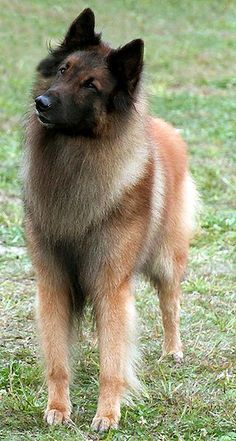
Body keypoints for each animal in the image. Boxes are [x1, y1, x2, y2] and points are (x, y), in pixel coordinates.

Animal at [23, 6, 198, 432]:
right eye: (63, 69)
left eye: (91, 86)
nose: (42, 102)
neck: (75, 159)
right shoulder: (54, 280)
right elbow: (58, 355)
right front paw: (58, 408)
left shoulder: (110, 284)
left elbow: (113, 360)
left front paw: (107, 414)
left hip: (166, 260)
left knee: (170, 304)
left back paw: (173, 351)